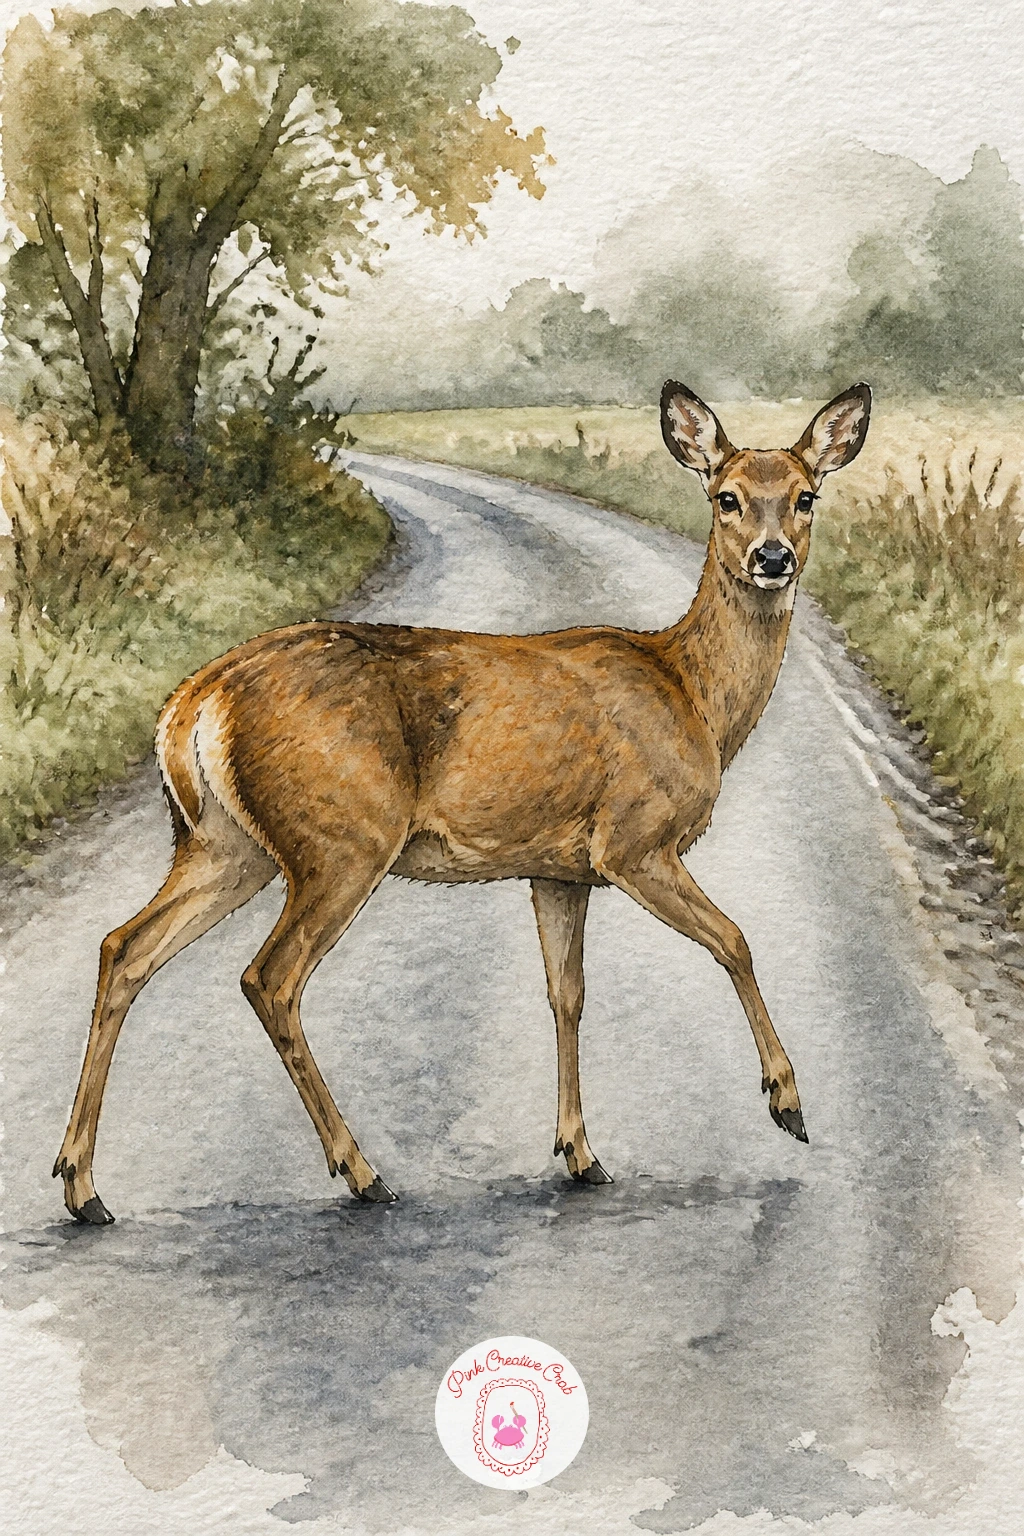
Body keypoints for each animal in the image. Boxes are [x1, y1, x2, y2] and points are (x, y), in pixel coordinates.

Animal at [55, 382, 871, 1225]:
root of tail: (193, 701)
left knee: (123, 947)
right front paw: (786, 1102)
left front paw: (579, 1151)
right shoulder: (634, 839)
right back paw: (361, 1171)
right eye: (726, 497)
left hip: (224, 845)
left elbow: (567, 995)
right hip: (341, 837)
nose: (772, 557)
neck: (692, 694)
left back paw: (83, 1186)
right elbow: (734, 938)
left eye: (806, 496)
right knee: (268, 978)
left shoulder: (559, 868)